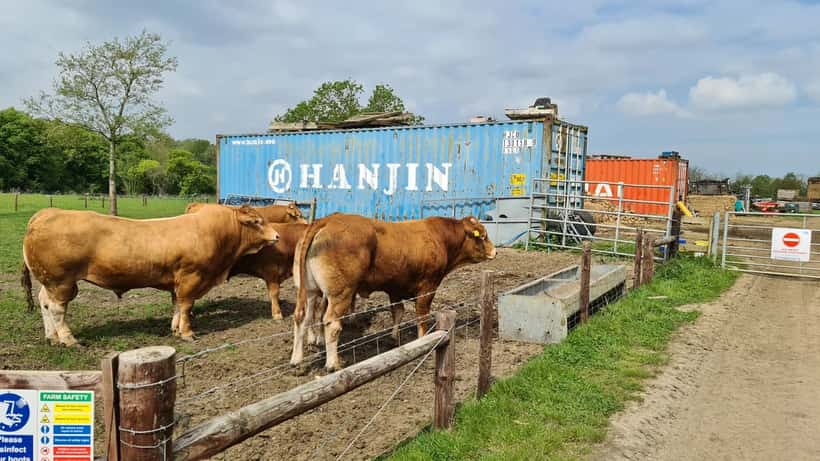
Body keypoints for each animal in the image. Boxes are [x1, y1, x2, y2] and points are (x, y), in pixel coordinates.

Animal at [20, 204, 279, 345]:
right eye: (257, 221)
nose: (277, 236)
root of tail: (45, 214)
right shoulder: (191, 278)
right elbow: (186, 305)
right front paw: (187, 333)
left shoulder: (177, 281)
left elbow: (178, 306)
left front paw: (175, 329)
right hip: (62, 282)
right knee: (57, 309)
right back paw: (68, 339)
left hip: (50, 282)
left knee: (44, 303)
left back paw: (52, 337)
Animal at [289, 214, 497, 371]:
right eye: (483, 236)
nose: (495, 252)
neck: (440, 238)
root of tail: (327, 220)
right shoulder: (428, 288)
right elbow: (422, 316)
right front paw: (422, 340)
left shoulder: (395, 288)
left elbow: (398, 312)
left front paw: (394, 337)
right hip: (340, 294)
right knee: (331, 323)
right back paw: (333, 364)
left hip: (309, 291)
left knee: (303, 318)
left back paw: (297, 360)